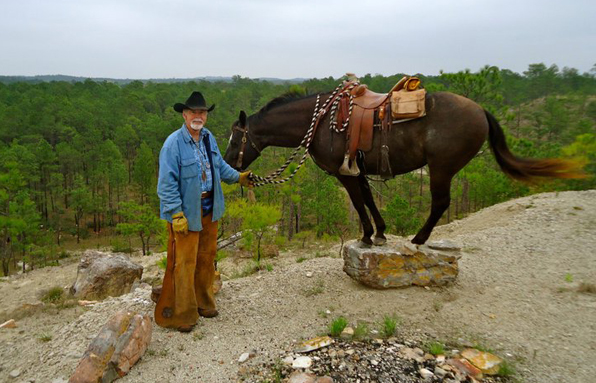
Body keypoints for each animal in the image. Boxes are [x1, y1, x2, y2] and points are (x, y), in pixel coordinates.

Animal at [224, 88, 584, 246]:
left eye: (234, 137)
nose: (227, 163)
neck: (324, 122)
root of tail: (480, 109)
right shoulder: (358, 171)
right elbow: (370, 201)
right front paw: (381, 232)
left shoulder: (345, 174)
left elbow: (359, 205)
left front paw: (367, 236)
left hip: (441, 168)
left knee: (440, 203)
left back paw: (420, 239)